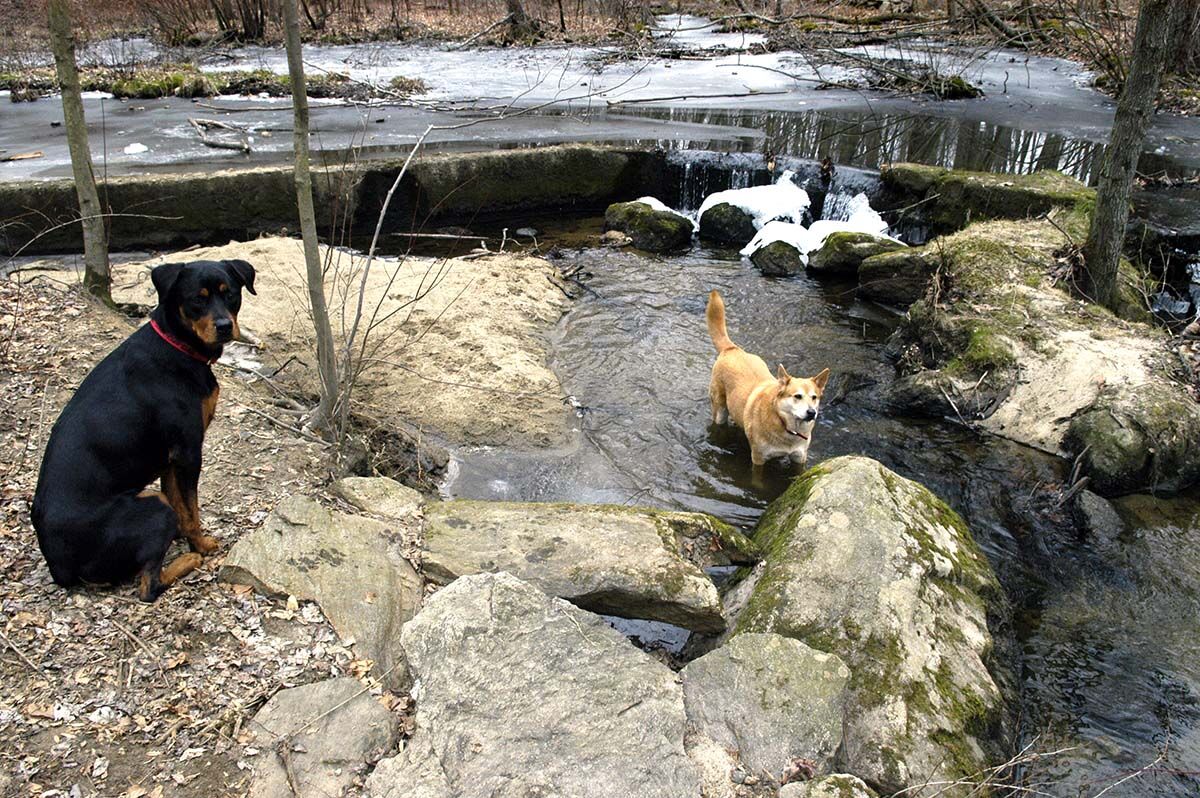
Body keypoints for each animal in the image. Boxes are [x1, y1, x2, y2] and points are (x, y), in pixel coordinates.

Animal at [32, 258, 255, 600]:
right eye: (197, 299)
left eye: (229, 293)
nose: (224, 326)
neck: (179, 347)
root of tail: (60, 567)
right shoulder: (188, 450)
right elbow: (191, 508)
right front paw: (200, 545)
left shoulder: (169, 458)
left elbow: (181, 503)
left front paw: (184, 537)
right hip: (151, 506)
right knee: (149, 586)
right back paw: (189, 560)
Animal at [705, 289, 830, 468]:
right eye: (797, 396)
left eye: (814, 397)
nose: (811, 413)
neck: (787, 428)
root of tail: (732, 348)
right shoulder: (759, 458)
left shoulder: (799, 457)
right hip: (719, 410)